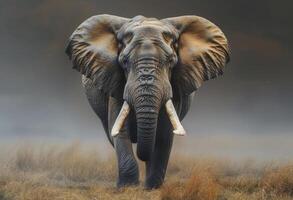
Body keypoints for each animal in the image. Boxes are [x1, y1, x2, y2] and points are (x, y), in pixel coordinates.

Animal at [65, 14, 229, 189]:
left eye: (171, 61)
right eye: (124, 61)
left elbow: (164, 135)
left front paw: (152, 187)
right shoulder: (115, 84)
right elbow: (121, 132)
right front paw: (127, 187)